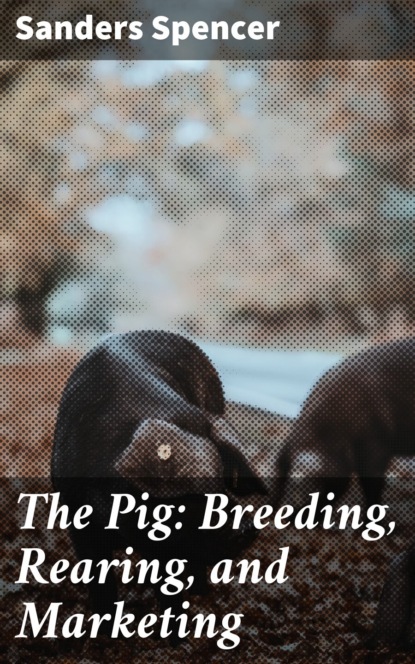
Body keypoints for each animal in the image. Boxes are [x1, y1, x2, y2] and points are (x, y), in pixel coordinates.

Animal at [51, 330, 266, 640]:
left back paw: (200, 593)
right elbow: (100, 583)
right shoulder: (78, 524)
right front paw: (106, 634)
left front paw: (175, 637)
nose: (248, 527)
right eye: (190, 496)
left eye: (221, 481)